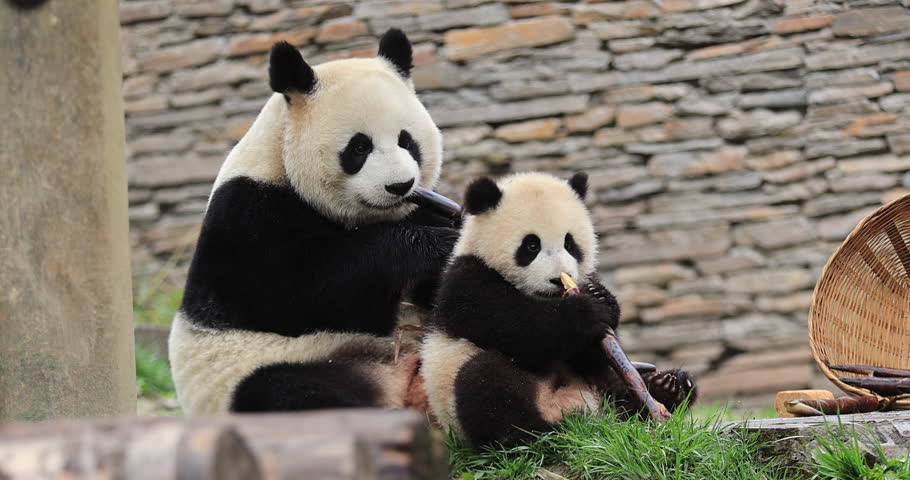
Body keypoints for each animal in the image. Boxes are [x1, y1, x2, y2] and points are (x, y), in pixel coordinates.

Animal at [168, 29, 459, 415]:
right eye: (359, 147)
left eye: (407, 141)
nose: (400, 186)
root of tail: (394, 385)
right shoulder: (247, 215)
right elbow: (298, 294)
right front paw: (434, 246)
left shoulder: (421, 205)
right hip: (262, 370)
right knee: (284, 392)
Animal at [420, 172, 696, 447]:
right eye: (531, 246)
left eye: (569, 243)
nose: (558, 278)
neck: (546, 299)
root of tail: (573, 409)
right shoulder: (466, 280)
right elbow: (517, 327)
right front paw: (586, 311)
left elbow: (592, 352)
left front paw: (602, 298)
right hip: (455, 388)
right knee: (484, 383)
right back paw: (533, 433)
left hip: (599, 387)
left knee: (617, 386)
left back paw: (668, 388)